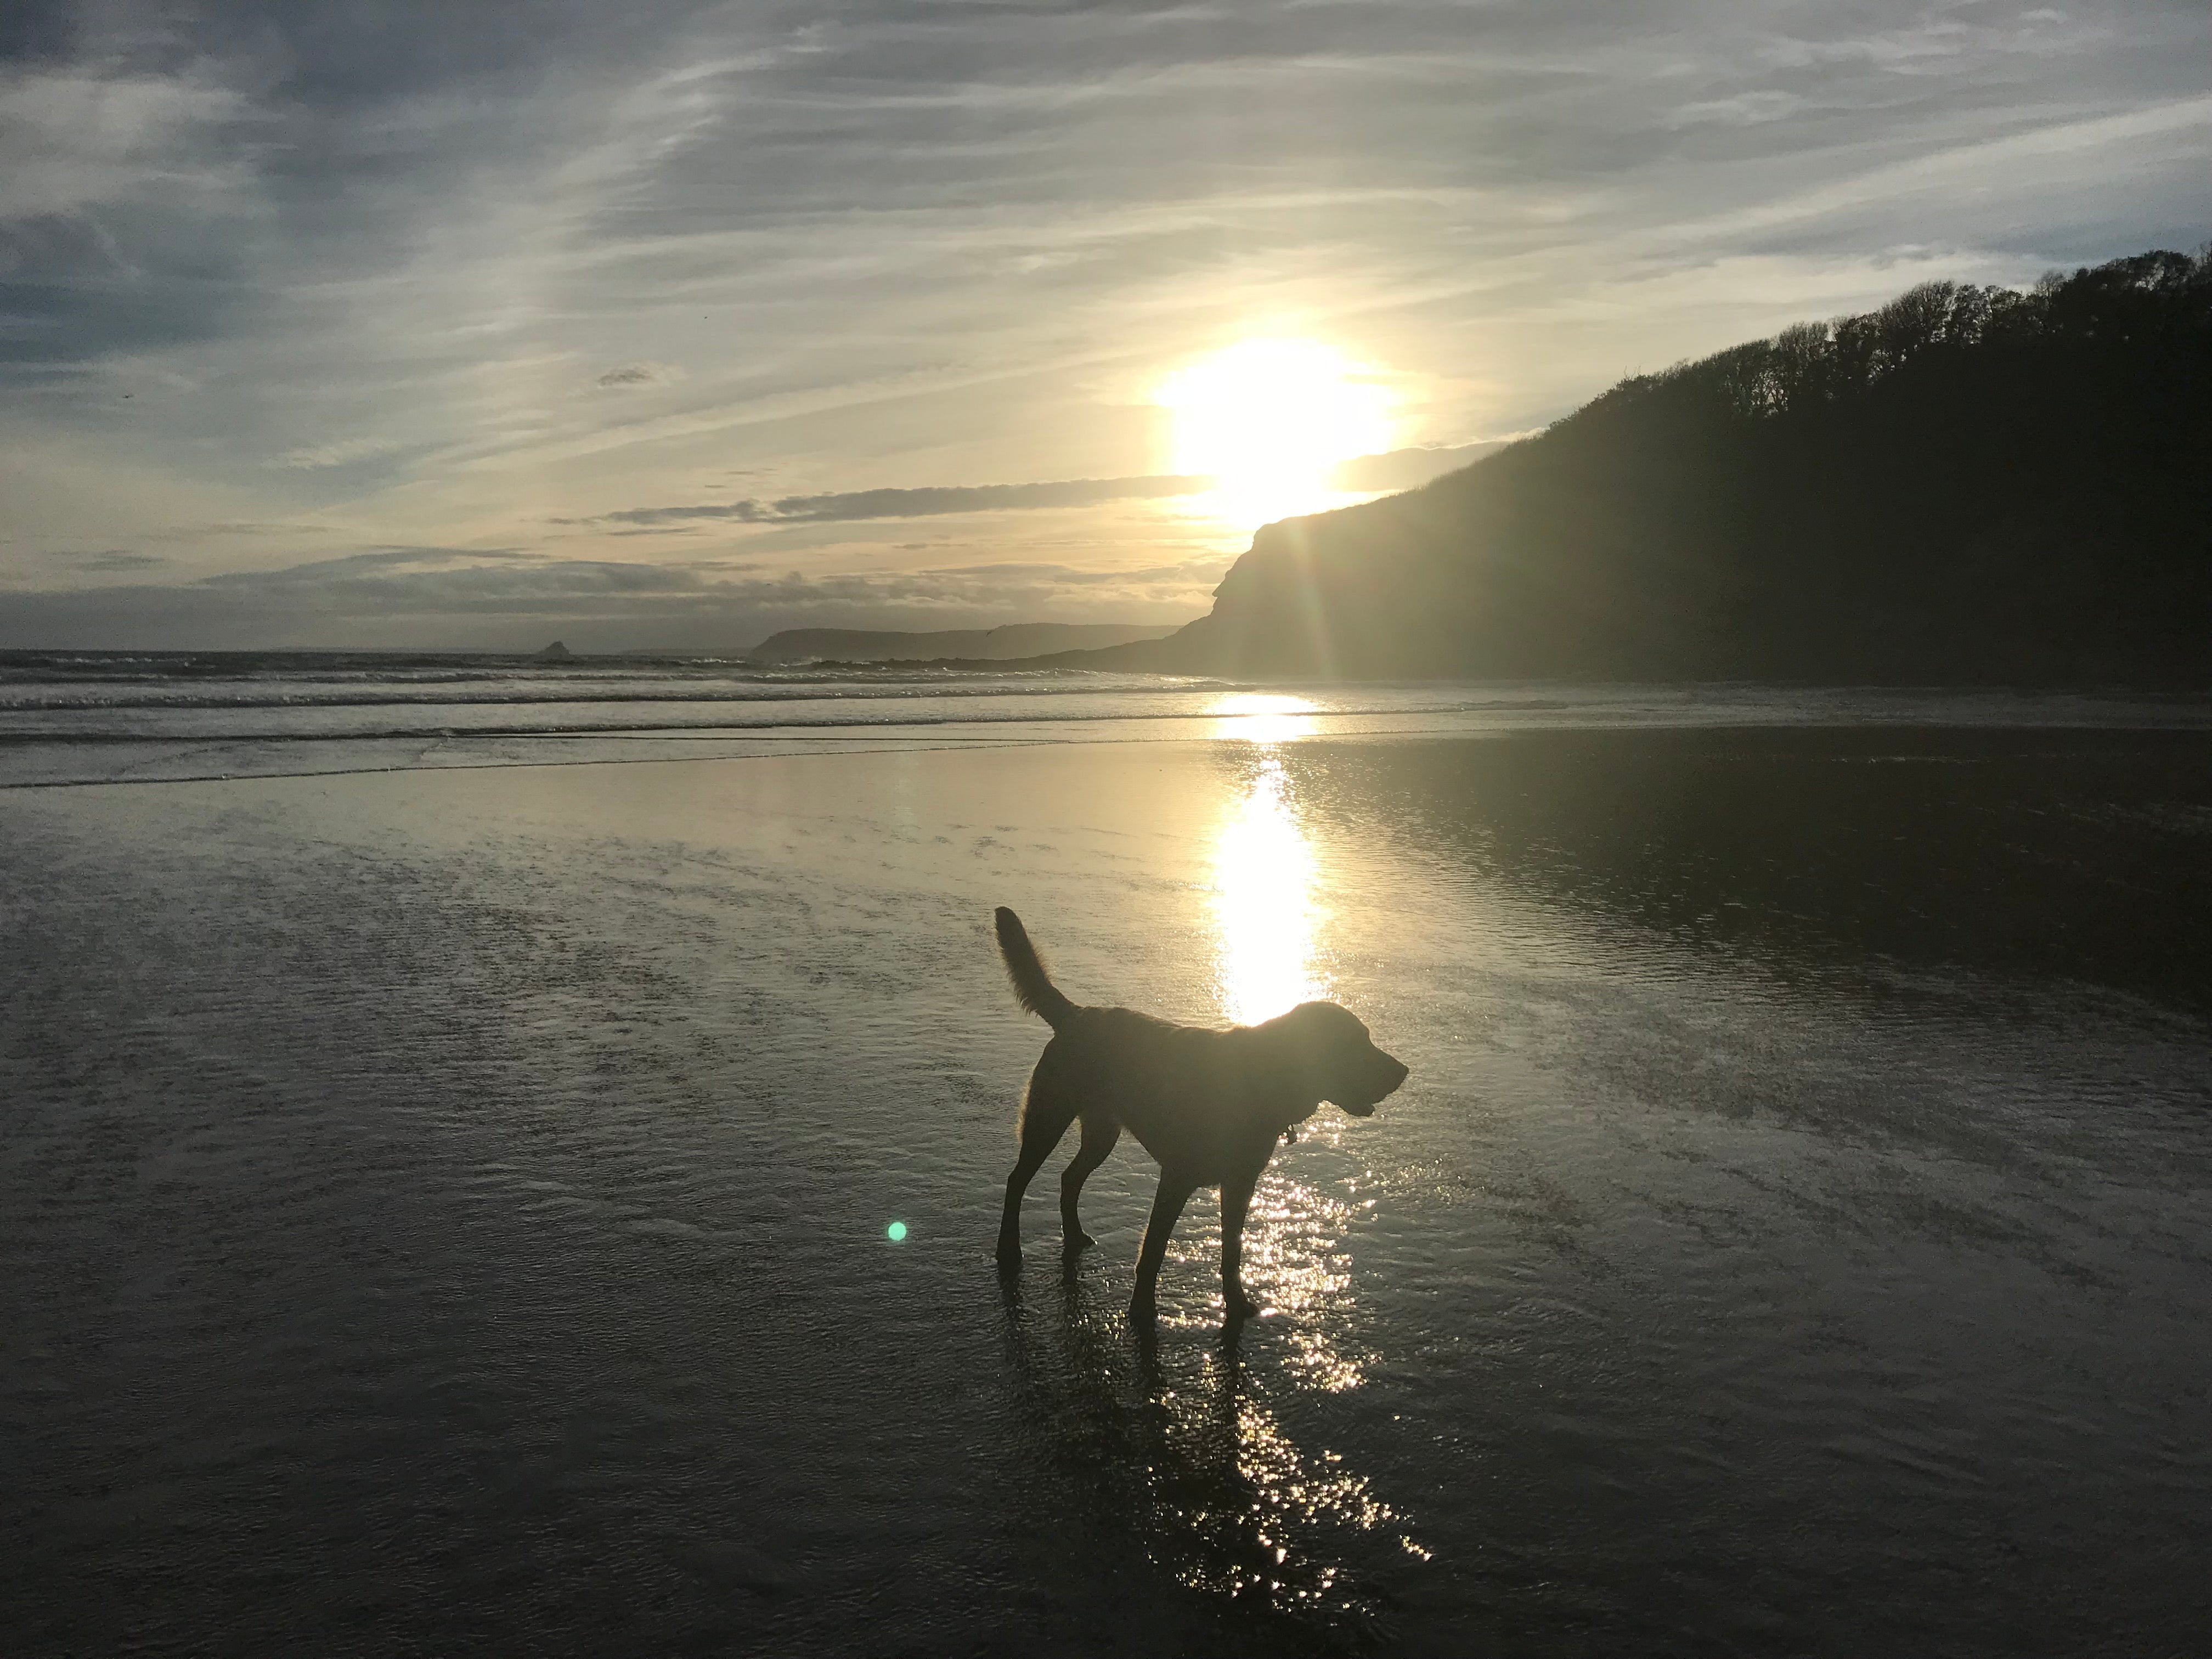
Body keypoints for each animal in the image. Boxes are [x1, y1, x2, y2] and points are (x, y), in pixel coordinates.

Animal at [995, 911, 1407, 1327]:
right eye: (1356, 1043)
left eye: (1367, 1039)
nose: (1403, 1072)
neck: (1262, 1077)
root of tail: (1076, 1014)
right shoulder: (1176, 1178)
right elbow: (1154, 1251)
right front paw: (1142, 1311)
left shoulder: (1239, 1184)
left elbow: (1231, 1252)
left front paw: (1236, 1303)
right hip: (1048, 1120)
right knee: (1017, 1181)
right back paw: (1009, 1249)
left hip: (1101, 1134)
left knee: (1070, 1178)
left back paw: (1075, 1235)